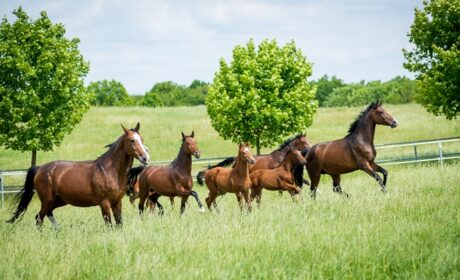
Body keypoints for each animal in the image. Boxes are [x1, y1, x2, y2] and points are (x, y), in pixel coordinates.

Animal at [6, 124, 149, 228]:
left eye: (142, 140)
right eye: (132, 140)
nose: (145, 158)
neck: (110, 170)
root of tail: (40, 168)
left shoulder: (117, 203)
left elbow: (119, 224)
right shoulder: (104, 203)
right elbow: (109, 225)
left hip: (59, 200)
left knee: (44, 215)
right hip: (47, 200)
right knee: (39, 218)